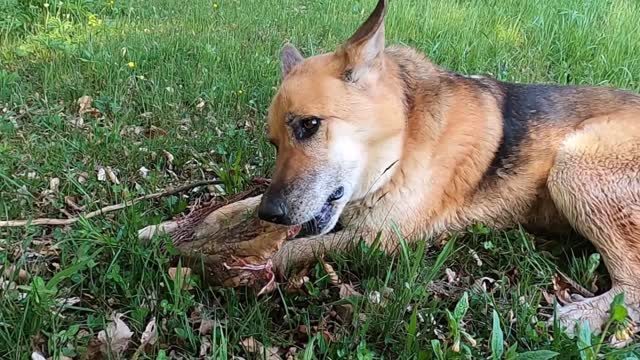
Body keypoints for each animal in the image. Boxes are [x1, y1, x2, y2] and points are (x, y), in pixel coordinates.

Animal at [252, 0, 636, 334]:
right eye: (274, 143)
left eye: (309, 125)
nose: (269, 213)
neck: (402, 141)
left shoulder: (381, 238)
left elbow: (293, 249)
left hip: (571, 164)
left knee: (632, 287)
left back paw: (583, 316)